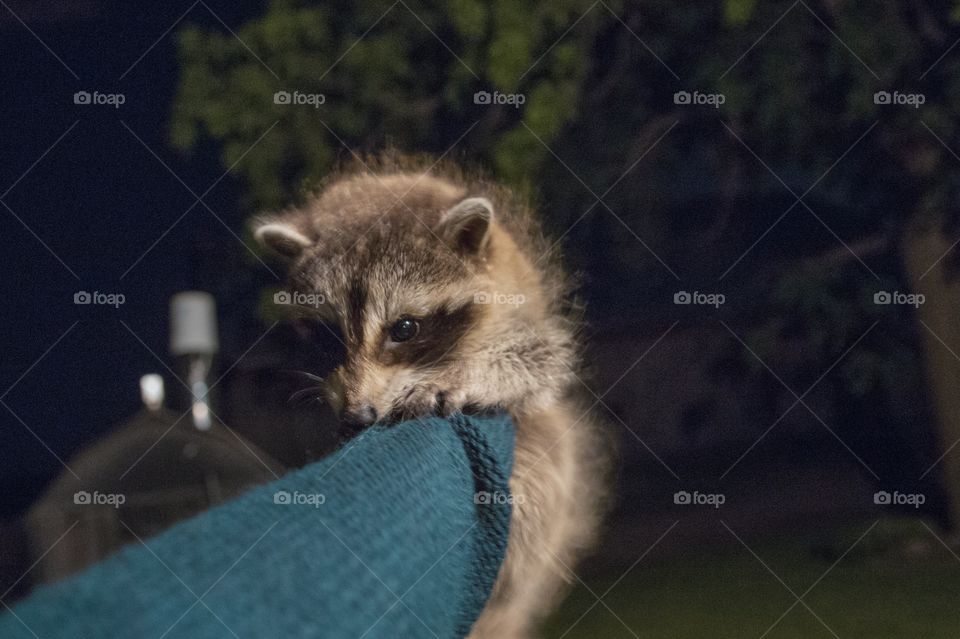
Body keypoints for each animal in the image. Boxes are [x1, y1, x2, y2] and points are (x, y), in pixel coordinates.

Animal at [255, 156, 608, 639]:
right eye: (328, 336)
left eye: (404, 329)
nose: (357, 415)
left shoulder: (528, 318)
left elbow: (535, 361)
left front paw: (468, 374)